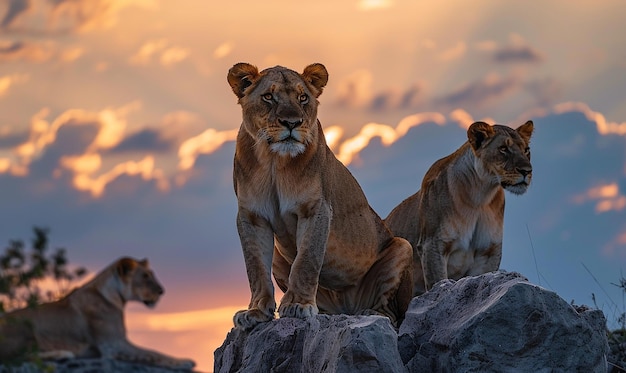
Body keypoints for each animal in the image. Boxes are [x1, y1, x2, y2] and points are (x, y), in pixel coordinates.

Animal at [0, 256, 194, 370]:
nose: (162, 291)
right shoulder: (113, 345)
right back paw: (63, 354)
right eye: (145, 276)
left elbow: (152, 352)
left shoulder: (113, 344)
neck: (116, 297)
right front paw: (185, 362)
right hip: (25, 328)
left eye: (151, 274)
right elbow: (153, 353)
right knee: (19, 358)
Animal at [227, 63, 412, 328]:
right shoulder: (251, 216)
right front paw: (255, 311)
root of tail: (346, 308)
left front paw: (299, 304)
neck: (273, 161)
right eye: (269, 97)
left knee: (392, 313)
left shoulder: (316, 209)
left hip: (403, 246)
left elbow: (307, 260)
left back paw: (371, 313)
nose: (292, 122)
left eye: (303, 98)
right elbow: (255, 267)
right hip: (280, 260)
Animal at [386, 120, 532, 294]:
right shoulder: (432, 245)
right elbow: (439, 283)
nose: (527, 171)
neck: (481, 196)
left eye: (526, 150)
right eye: (503, 148)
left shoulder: (488, 252)